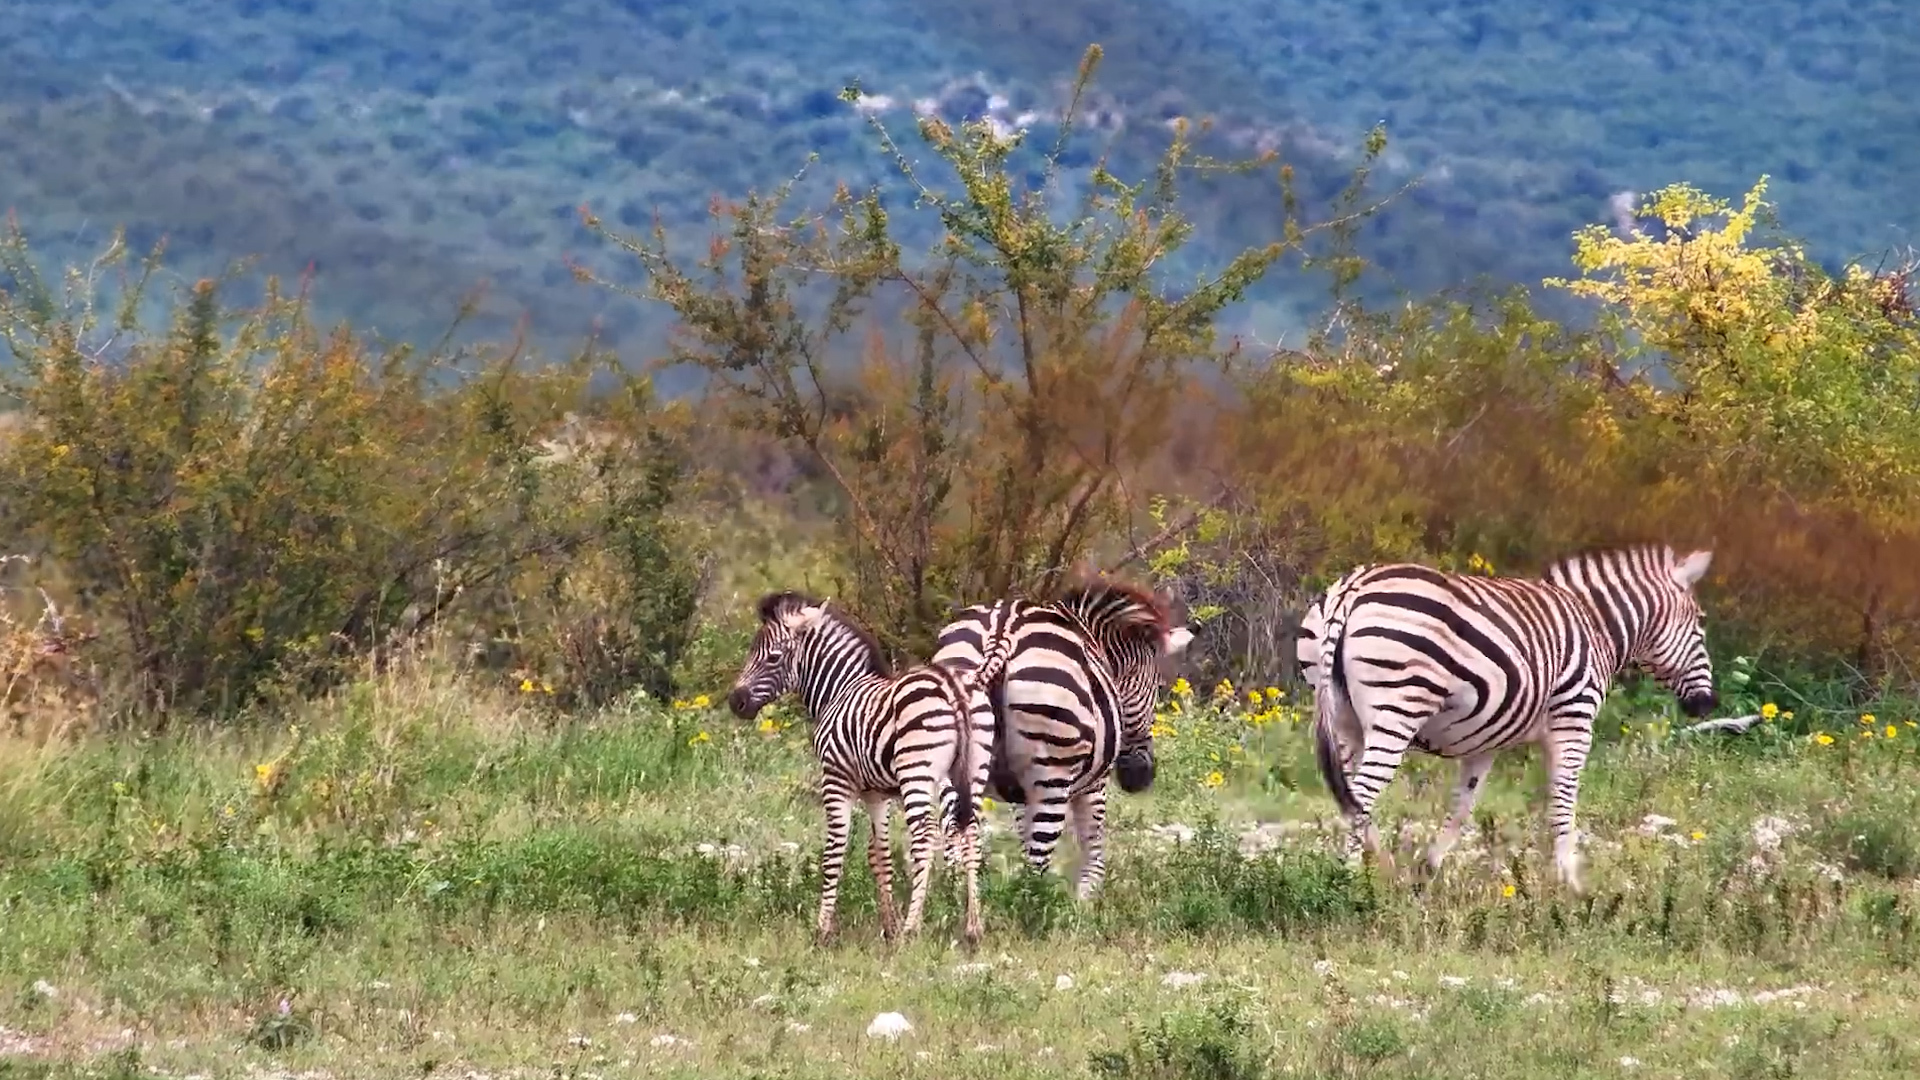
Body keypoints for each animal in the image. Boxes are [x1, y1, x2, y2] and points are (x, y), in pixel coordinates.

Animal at [726, 591, 1010, 946]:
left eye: (774, 658)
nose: (735, 701)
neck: (839, 690)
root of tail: (951, 684)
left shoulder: (836, 778)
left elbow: (834, 852)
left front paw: (823, 928)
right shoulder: (877, 794)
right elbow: (880, 855)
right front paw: (888, 926)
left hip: (917, 770)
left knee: (924, 836)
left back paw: (913, 928)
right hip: (974, 768)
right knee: (970, 829)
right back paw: (972, 927)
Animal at [930, 576, 1193, 900]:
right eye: (1158, 688)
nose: (1140, 778)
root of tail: (1000, 633)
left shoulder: (1020, 791)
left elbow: (1023, 833)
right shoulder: (1095, 781)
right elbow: (1093, 845)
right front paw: (1085, 899)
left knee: (957, 847)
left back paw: (959, 900)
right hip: (1051, 774)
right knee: (1036, 867)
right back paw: (1036, 907)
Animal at [1301, 546, 1717, 894]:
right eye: (1699, 624)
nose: (1707, 705)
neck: (1597, 626)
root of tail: (1351, 589)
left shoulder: (1485, 740)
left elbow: (1463, 806)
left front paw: (1427, 869)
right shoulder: (1575, 719)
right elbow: (1563, 798)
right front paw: (1570, 883)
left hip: (1344, 719)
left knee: (1350, 793)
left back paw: (1382, 868)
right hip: (1398, 710)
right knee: (1362, 794)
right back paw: (1349, 879)